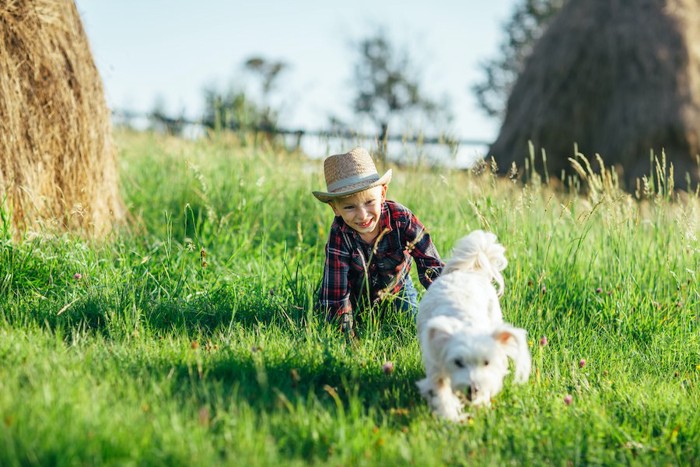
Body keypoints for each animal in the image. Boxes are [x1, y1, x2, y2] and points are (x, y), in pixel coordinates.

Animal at [416, 230, 532, 420]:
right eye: (458, 362)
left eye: (486, 362)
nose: (473, 389)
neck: (467, 323)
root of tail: (467, 271)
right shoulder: (436, 362)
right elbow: (442, 391)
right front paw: (450, 417)